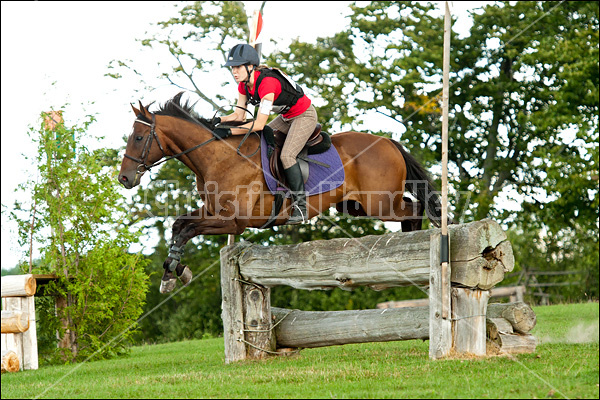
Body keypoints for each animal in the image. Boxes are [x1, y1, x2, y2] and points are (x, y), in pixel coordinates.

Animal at [119, 94, 442, 294]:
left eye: (139, 138)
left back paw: (409, 251)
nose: (124, 178)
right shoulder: (214, 212)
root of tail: (388, 141)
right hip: (354, 206)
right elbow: (179, 225)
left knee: (414, 211)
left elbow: (187, 229)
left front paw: (176, 271)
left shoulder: (234, 222)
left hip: (380, 204)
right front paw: (171, 273)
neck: (218, 157)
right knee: (410, 210)